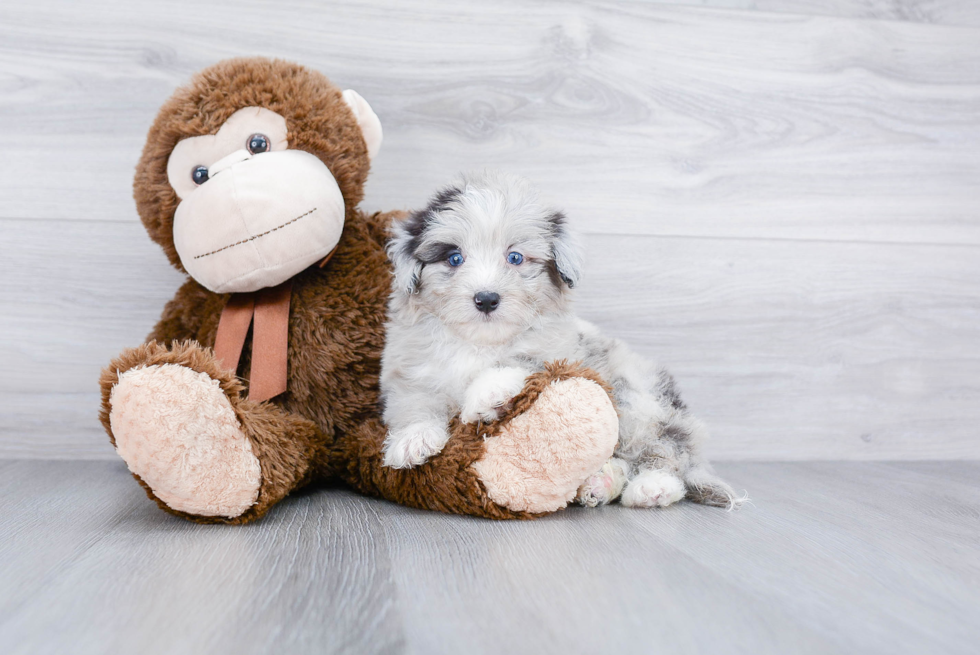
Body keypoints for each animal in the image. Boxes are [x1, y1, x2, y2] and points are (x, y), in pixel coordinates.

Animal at [378, 172, 740, 510]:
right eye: (454, 258)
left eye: (515, 258)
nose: (487, 299)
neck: (480, 342)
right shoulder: (411, 375)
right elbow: (415, 405)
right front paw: (412, 440)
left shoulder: (560, 354)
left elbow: (518, 362)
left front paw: (486, 394)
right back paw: (600, 484)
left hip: (639, 402)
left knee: (667, 451)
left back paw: (653, 486)